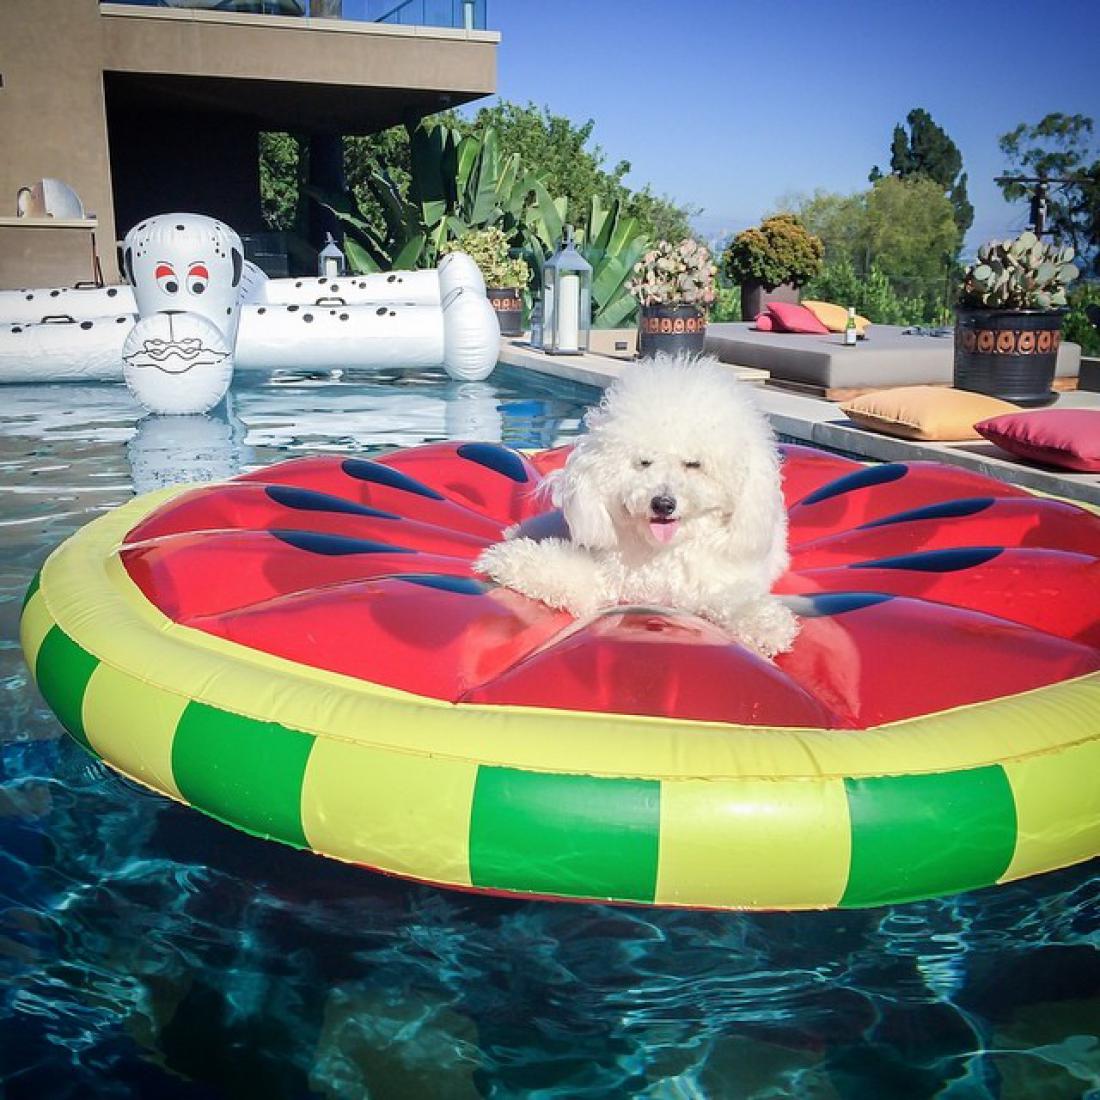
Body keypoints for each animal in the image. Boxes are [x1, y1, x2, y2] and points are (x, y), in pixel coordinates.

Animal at [473, 356, 800, 655]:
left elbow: (737, 599)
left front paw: (767, 626)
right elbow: (568, 572)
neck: (661, 553)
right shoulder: (607, 576)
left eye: (693, 464)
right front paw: (507, 559)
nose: (663, 504)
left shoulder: (714, 583)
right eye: (644, 462)